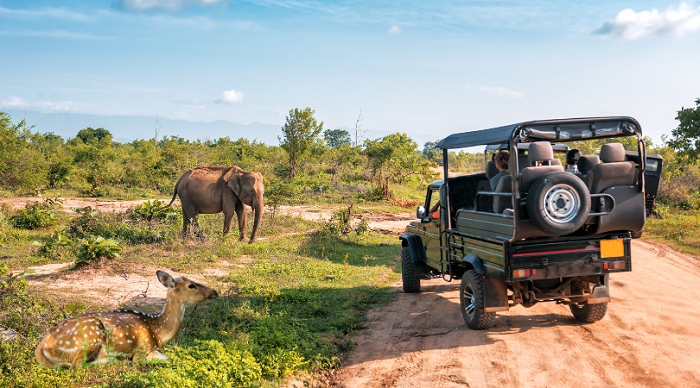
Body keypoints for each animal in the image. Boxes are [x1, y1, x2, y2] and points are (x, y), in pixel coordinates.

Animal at [32, 272, 217, 368]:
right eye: (191, 285)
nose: (215, 292)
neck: (158, 332)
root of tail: (42, 346)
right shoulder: (143, 349)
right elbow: (165, 358)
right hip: (90, 338)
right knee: (77, 365)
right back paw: (110, 358)